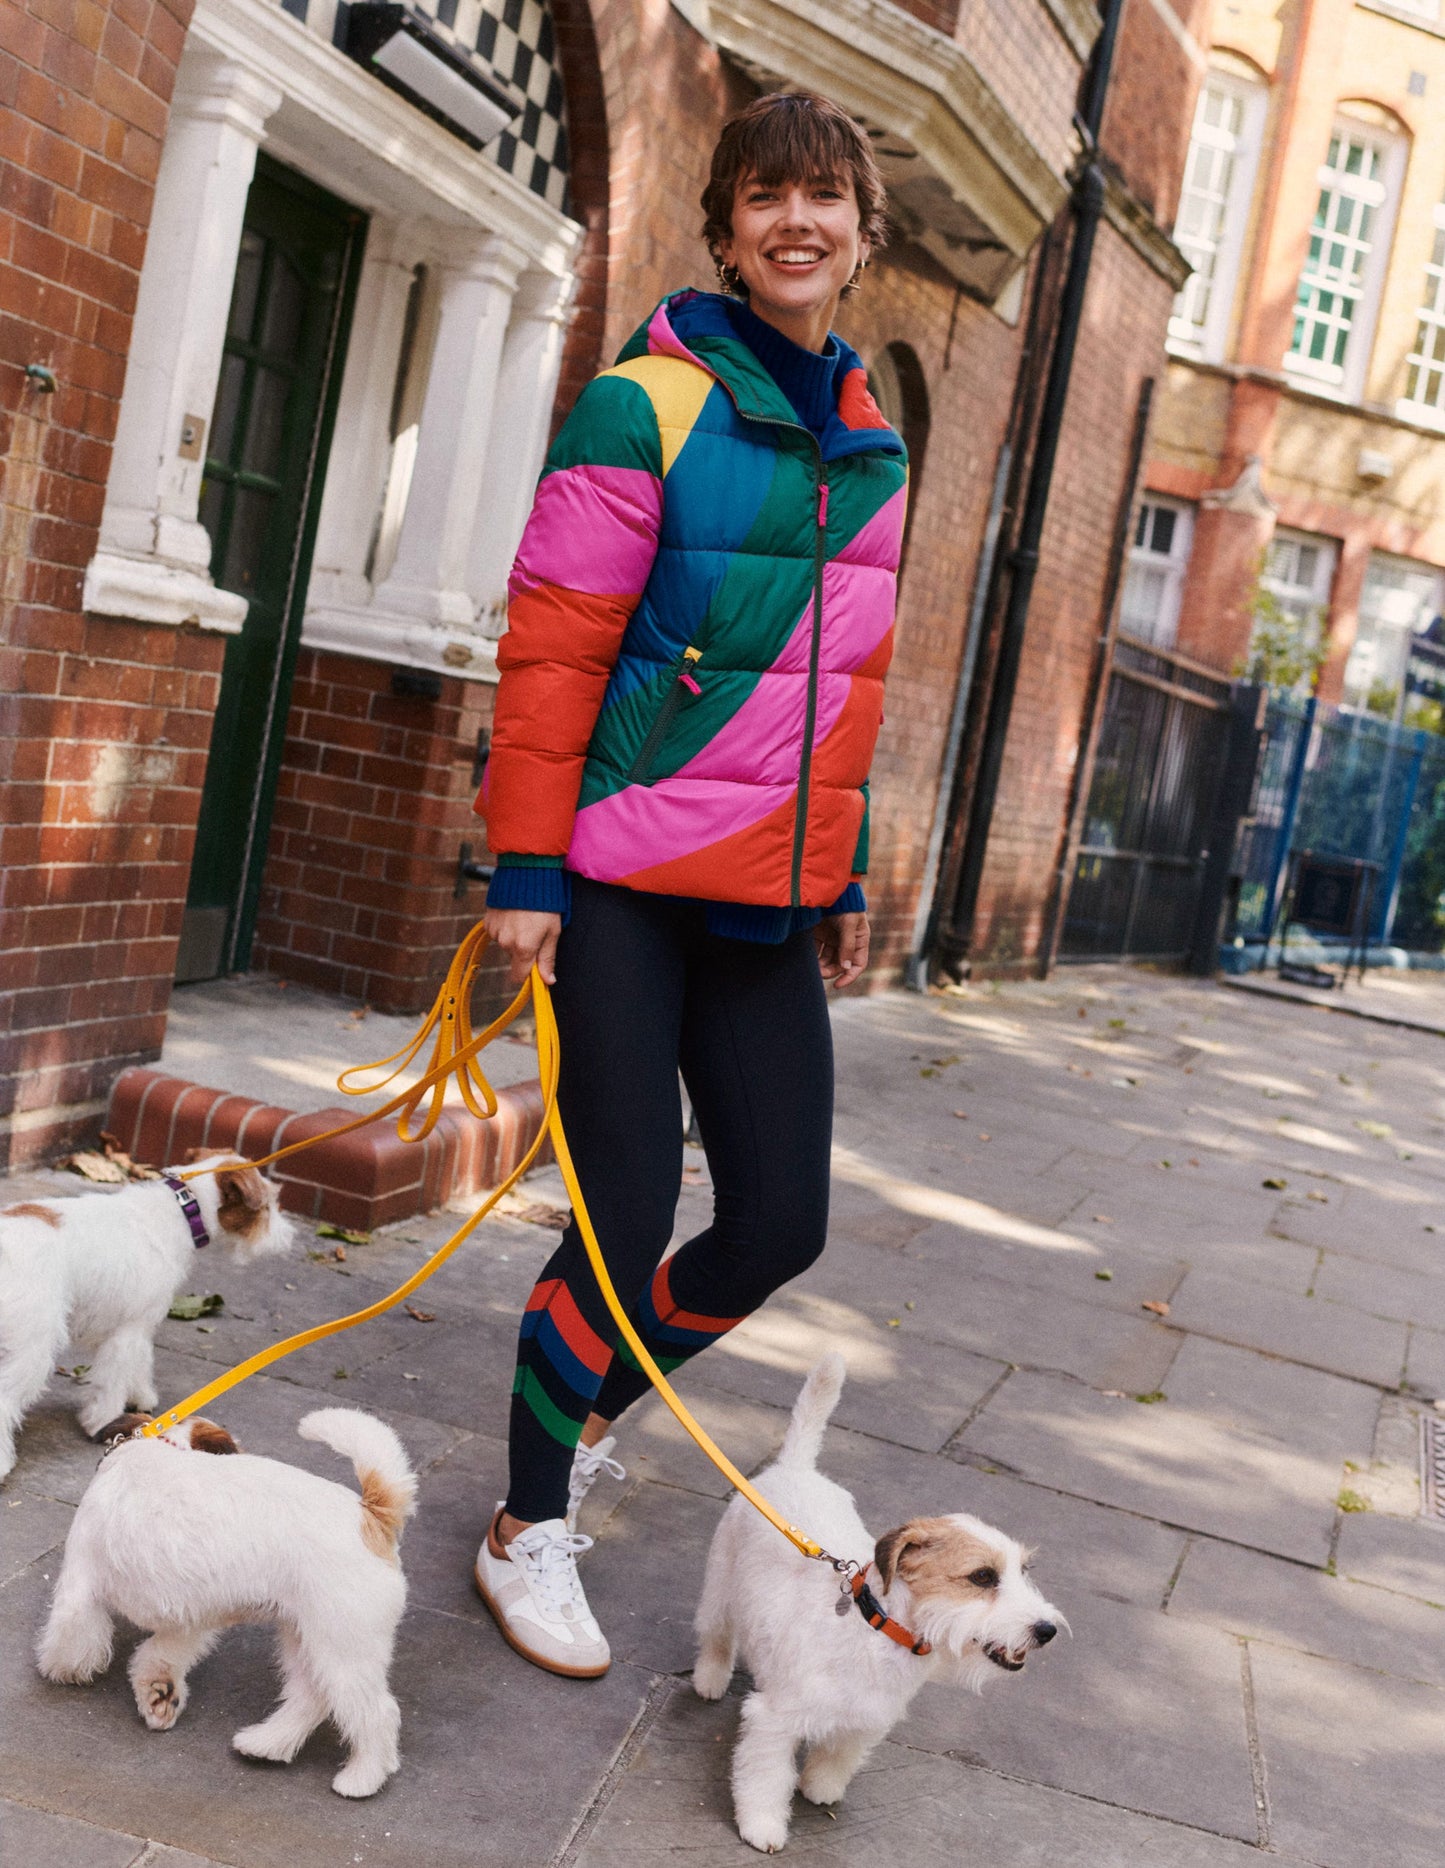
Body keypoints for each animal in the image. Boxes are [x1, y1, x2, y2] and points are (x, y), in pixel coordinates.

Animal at [0, 1143, 294, 1479]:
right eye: (268, 1206)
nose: (289, 1236)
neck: (181, 1208)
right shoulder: (128, 1330)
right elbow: (113, 1381)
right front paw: (103, 1421)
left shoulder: (141, 1327)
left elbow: (141, 1365)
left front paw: (141, 1398)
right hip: (31, 1350)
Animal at [36, 1412, 418, 1793]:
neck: (155, 1448)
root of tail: (371, 1514)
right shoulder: (188, 1623)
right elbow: (156, 1658)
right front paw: (159, 1697)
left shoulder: (79, 1583)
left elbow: (71, 1634)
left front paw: (63, 1668)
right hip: (304, 1638)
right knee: (310, 1697)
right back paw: (266, 1745)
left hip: (343, 1648)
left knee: (377, 1712)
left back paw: (362, 1778)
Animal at [690, 1359, 1060, 1853]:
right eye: (982, 1576)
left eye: (1024, 1569)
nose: (1047, 1630)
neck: (881, 1632)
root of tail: (794, 1467)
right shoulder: (775, 1722)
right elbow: (765, 1778)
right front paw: (762, 1825)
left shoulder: (864, 1720)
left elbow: (837, 1757)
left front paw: (820, 1787)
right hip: (719, 1591)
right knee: (716, 1637)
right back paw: (710, 1679)